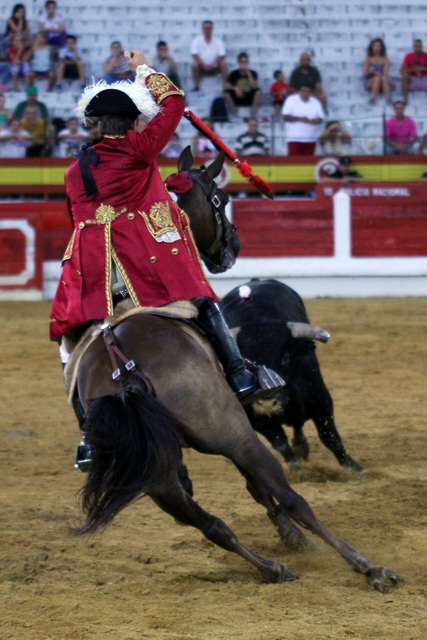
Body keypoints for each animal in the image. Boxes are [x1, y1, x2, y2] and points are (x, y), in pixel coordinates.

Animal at [221, 278, 364, 472]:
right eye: (244, 362)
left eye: (286, 357)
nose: (267, 403)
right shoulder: (254, 417)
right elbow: (280, 442)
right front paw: (297, 468)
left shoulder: (321, 399)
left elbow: (330, 436)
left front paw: (353, 467)